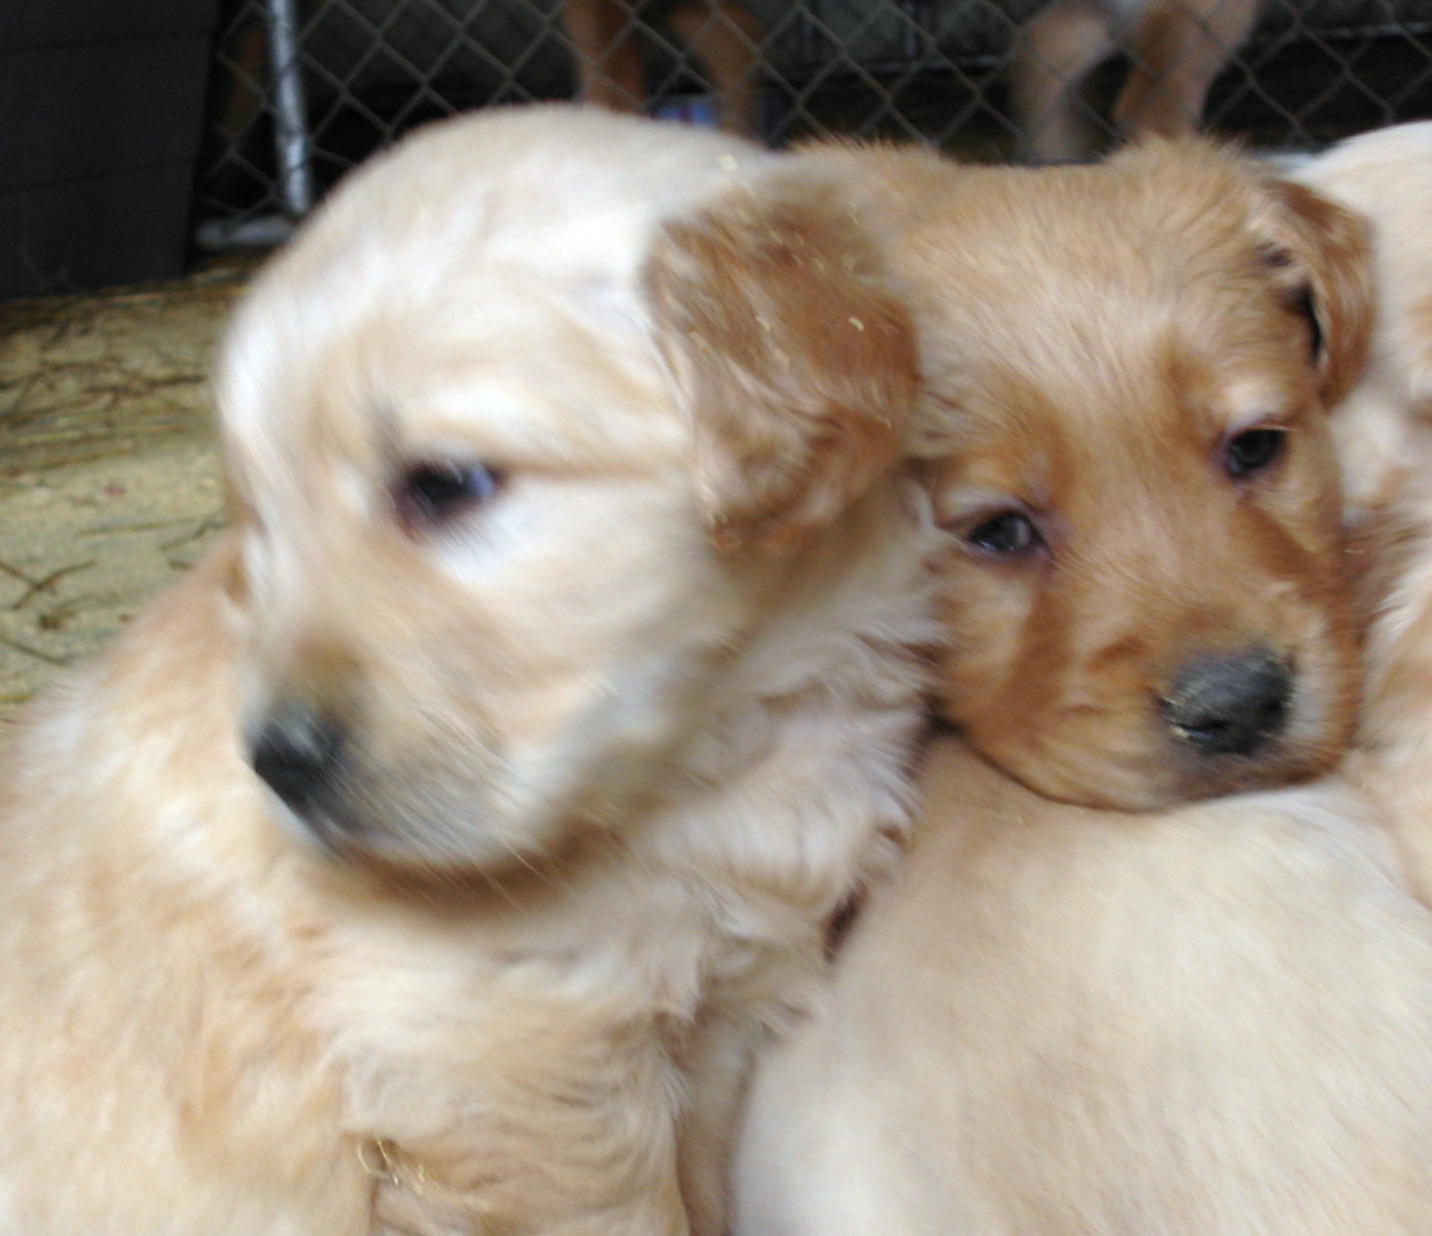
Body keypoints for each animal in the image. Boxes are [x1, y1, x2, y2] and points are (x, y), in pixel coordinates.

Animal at [0, 105, 927, 1236]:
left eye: (443, 485)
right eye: (262, 528)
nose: (276, 766)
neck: (704, 764)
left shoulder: (718, 1014)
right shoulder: (513, 1072)